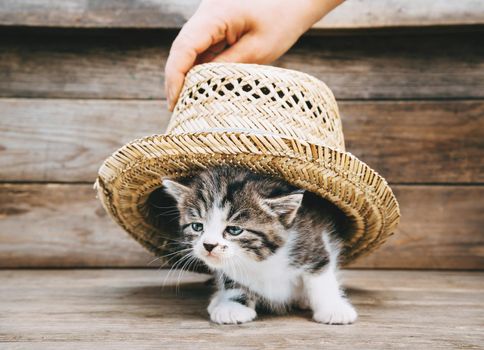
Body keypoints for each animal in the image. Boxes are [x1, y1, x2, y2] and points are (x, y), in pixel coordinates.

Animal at [163, 165, 356, 324]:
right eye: (197, 226)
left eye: (234, 230)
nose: (209, 245)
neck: (262, 260)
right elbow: (232, 278)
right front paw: (234, 305)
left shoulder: (312, 241)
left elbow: (320, 276)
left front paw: (334, 309)